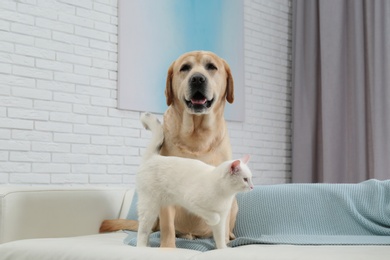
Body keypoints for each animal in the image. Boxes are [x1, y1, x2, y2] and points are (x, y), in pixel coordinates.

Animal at [100, 50, 235, 248]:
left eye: (211, 67)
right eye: (185, 68)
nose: (197, 79)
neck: (196, 135)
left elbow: (221, 228)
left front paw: (224, 244)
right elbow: (168, 227)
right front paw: (167, 247)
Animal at [136, 112, 253, 249]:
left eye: (251, 178)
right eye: (245, 179)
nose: (252, 187)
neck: (225, 194)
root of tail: (154, 157)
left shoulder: (222, 218)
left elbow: (220, 237)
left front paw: (223, 249)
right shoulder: (193, 203)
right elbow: (214, 217)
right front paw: (211, 220)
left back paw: (148, 245)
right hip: (149, 206)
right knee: (143, 230)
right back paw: (141, 247)